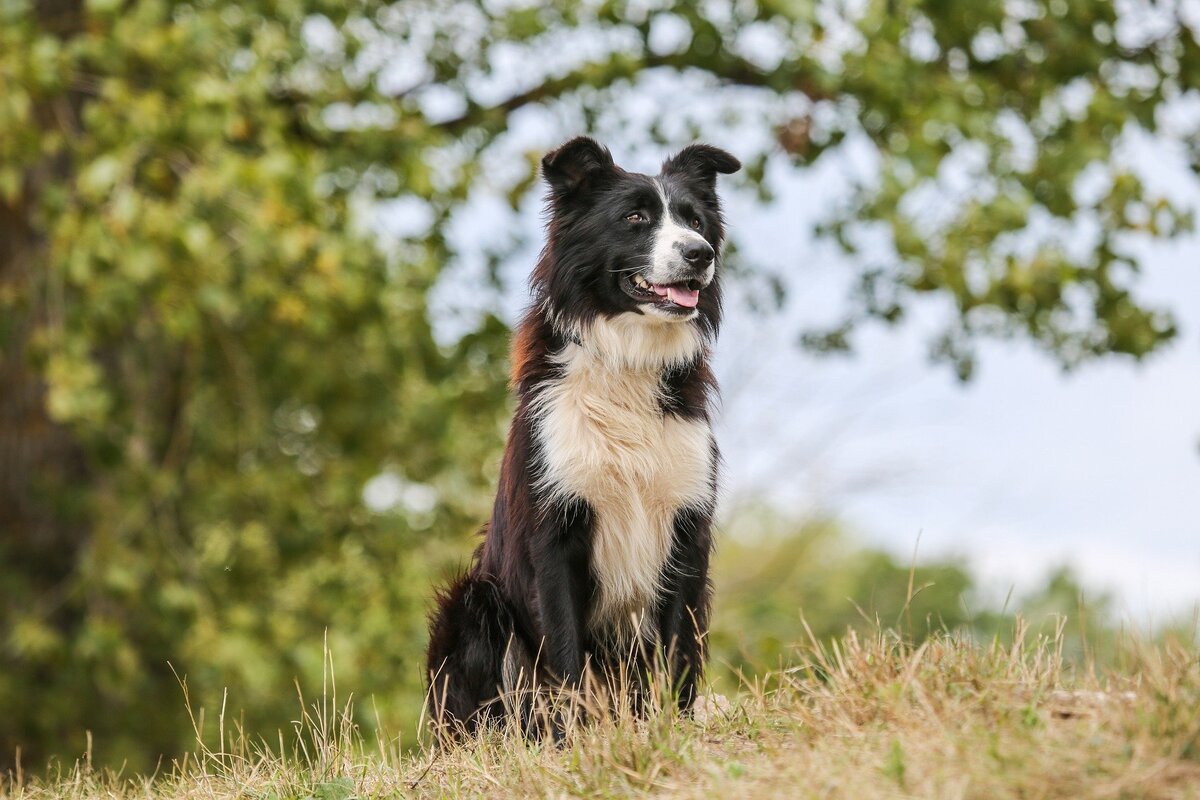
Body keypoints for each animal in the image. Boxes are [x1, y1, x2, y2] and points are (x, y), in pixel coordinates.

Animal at [422, 136, 739, 738]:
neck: (629, 359)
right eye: (635, 217)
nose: (700, 254)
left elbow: (679, 651)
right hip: (474, 602)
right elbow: (566, 650)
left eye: (695, 221)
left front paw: (675, 727)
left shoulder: (686, 526)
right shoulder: (555, 532)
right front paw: (578, 742)